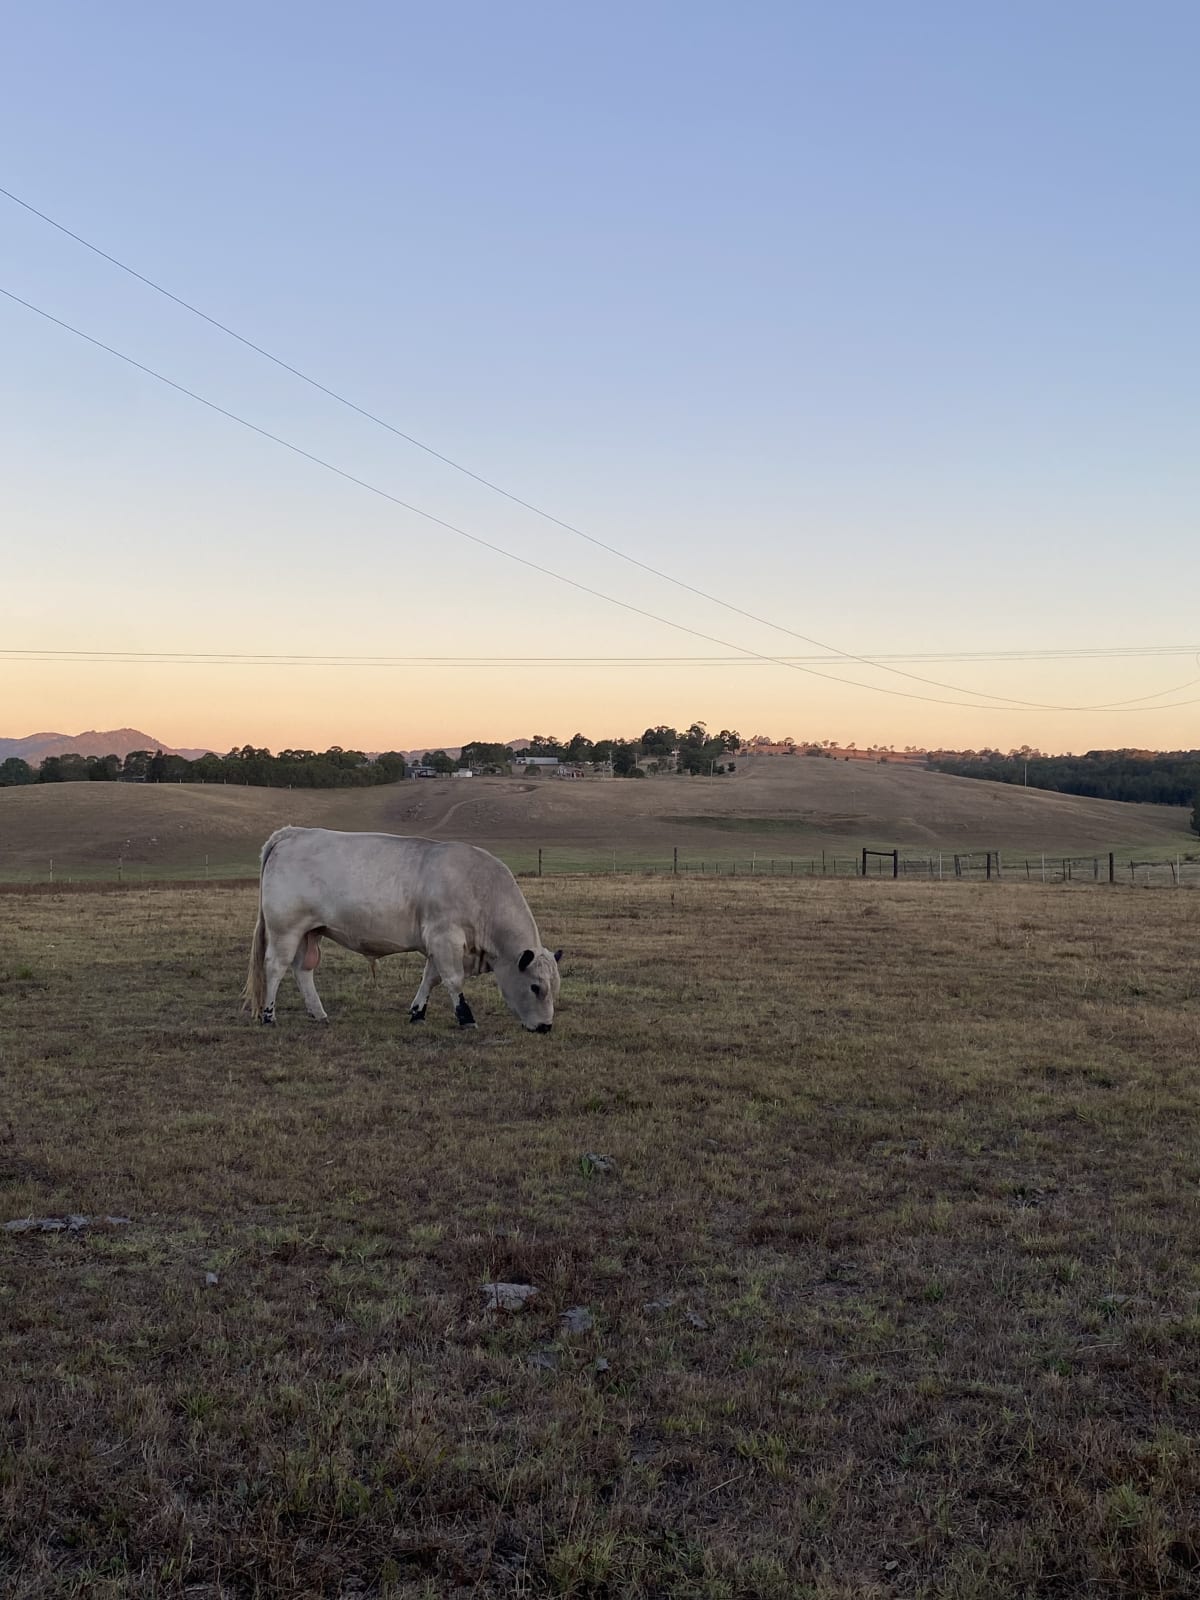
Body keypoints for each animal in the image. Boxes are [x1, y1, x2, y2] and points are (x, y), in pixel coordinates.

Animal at [242, 826, 561, 1032]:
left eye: (555, 987)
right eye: (535, 987)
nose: (546, 1027)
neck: (479, 888)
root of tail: (292, 833)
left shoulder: (438, 945)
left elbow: (430, 979)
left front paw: (418, 1013)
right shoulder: (445, 939)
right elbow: (453, 980)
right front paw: (465, 1017)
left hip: (310, 932)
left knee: (302, 969)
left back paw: (318, 1013)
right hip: (286, 929)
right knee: (275, 966)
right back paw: (269, 1016)